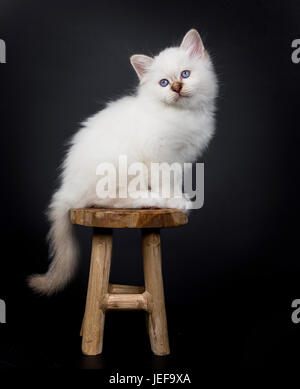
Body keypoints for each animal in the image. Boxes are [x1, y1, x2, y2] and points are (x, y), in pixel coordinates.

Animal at [28, 28, 218, 292]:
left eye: (185, 74)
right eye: (164, 83)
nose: (177, 87)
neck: (182, 115)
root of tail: (66, 190)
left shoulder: (180, 160)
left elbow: (175, 180)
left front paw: (178, 198)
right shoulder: (159, 155)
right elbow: (165, 182)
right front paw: (174, 201)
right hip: (122, 167)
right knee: (105, 200)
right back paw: (149, 200)